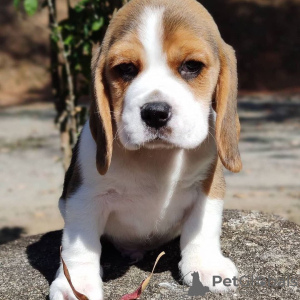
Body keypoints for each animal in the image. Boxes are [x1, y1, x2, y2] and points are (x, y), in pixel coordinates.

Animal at [49, 0, 241, 298]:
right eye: (126, 68)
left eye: (191, 66)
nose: (155, 113)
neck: (156, 157)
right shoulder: (84, 197)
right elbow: (79, 244)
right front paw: (76, 285)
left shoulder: (208, 186)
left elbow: (203, 227)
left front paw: (205, 265)